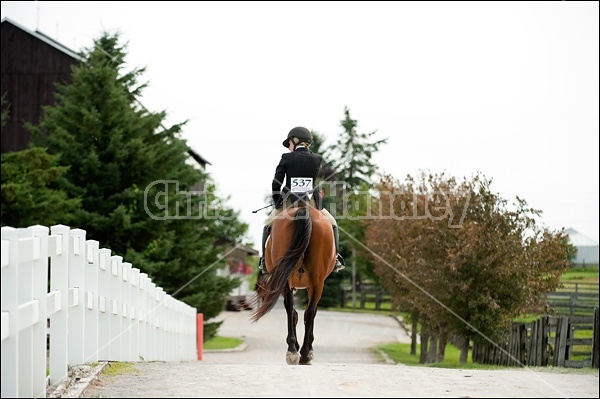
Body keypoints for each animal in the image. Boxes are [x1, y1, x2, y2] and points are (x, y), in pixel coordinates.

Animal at [248, 203, 338, 366]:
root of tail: (303, 210)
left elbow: (298, 312)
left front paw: (300, 346)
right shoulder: (310, 285)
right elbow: (303, 312)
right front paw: (304, 347)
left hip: (299, 279)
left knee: (298, 309)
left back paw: (295, 351)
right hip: (315, 280)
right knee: (306, 310)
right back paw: (302, 353)